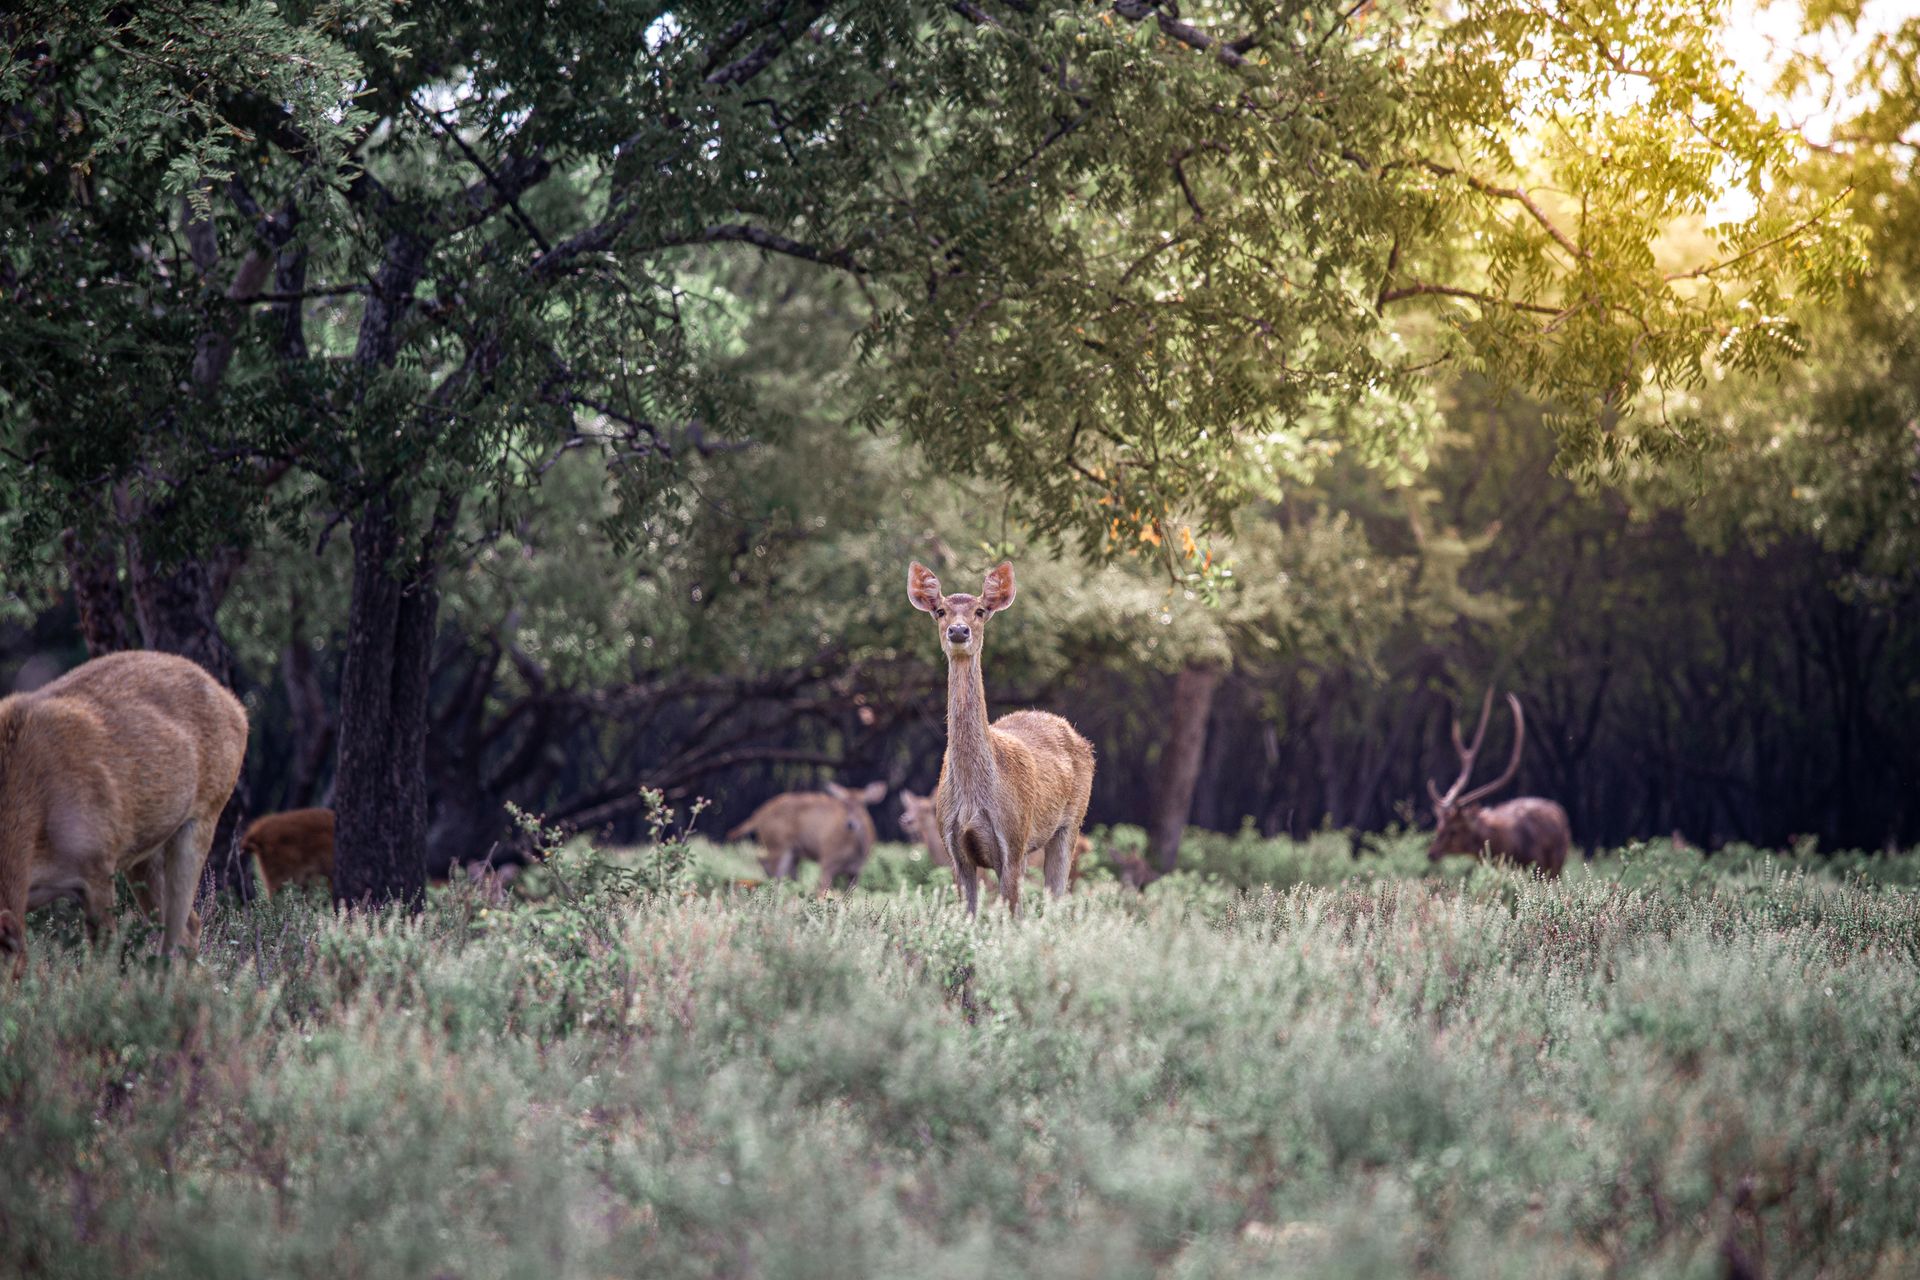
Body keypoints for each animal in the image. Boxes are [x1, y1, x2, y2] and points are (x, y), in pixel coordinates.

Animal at [0, 650, 248, 979]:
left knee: (178, 933)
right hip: (145, 854)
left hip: (205, 815)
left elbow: (105, 959)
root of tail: (238, 709)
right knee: (188, 927)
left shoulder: (96, 866)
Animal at [727, 780, 888, 892]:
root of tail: (758, 815)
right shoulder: (827, 860)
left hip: (793, 852)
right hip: (778, 844)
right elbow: (822, 890)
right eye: (844, 804)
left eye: (863, 803)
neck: (854, 851)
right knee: (771, 868)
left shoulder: (856, 871)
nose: (850, 824)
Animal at [908, 560, 1095, 916]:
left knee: (1057, 897)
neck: (974, 796)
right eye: (940, 611)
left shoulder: (1013, 841)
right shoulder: (955, 849)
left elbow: (1011, 915)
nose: (958, 631)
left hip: (1072, 822)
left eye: (980, 610)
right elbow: (968, 915)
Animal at [1426, 689, 1571, 878]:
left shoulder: (1537, 862)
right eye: (1438, 826)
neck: (1507, 847)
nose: (1431, 853)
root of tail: (1559, 810)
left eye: (1453, 830)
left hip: (1557, 863)